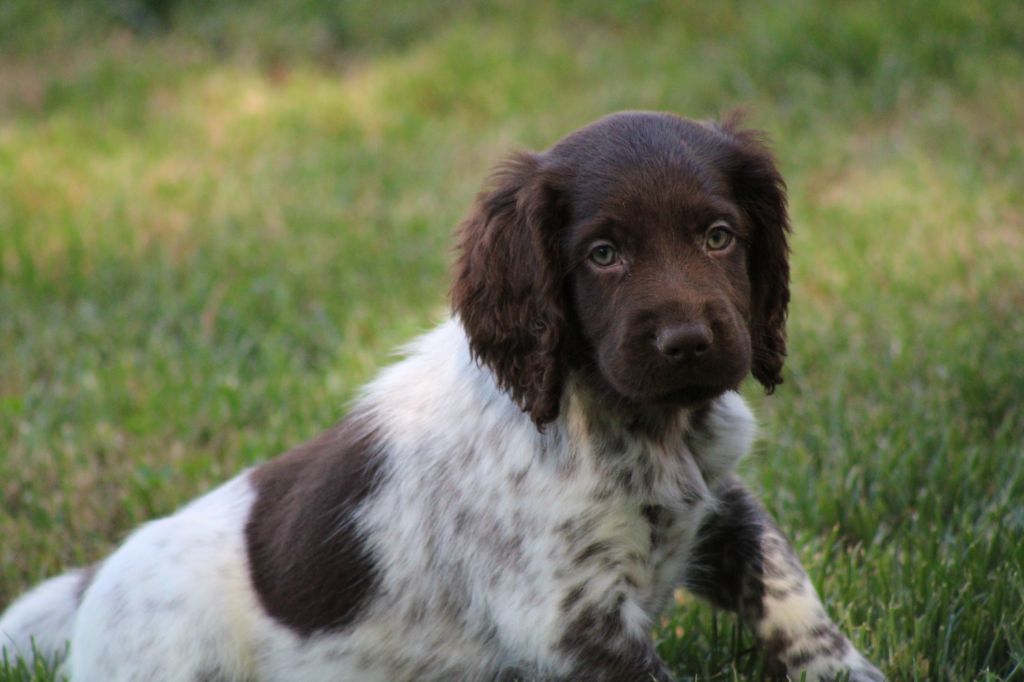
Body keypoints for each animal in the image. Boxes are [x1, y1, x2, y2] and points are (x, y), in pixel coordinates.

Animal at [0, 111, 884, 679]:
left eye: (719, 237)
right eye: (602, 254)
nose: (689, 344)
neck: (636, 423)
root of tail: (95, 583)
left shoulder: (719, 508)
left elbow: (791, 595)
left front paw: (845, 670)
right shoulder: (572, 621)